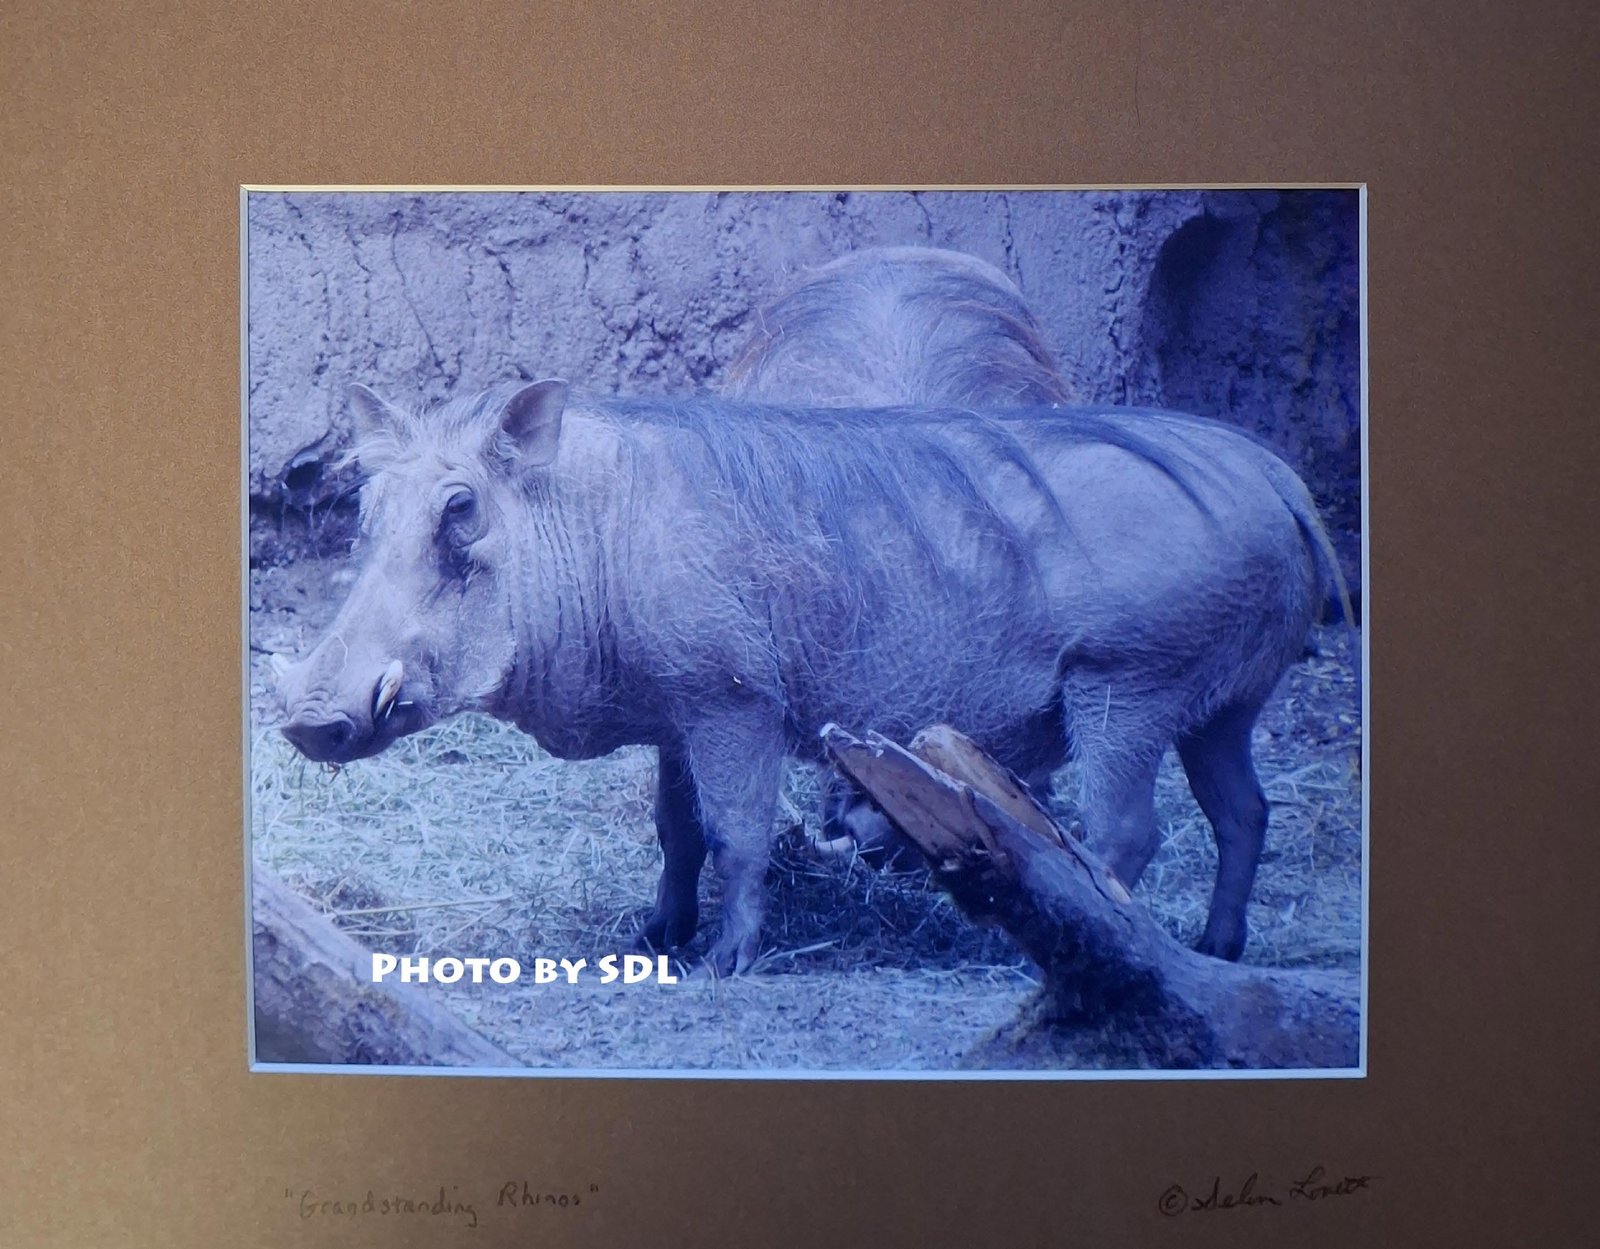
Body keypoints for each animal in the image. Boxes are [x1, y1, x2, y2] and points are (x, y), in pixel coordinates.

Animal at [275, 377, 1344, 975]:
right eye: (366, 507)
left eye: (460, 510)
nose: (311, 720)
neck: (592, 524)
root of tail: (1279, 477)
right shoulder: (680, 714)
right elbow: (675, 831)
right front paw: (657, 935)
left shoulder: (733, 703)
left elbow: (737, 834)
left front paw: (726, 961)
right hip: (1222, 706)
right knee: (1244, 811)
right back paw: (1216, 950)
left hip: (1127, 688)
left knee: (1125, 832)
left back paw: (1054, 950)